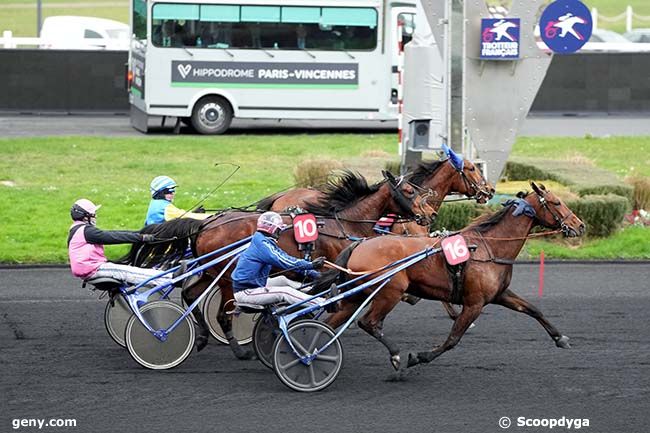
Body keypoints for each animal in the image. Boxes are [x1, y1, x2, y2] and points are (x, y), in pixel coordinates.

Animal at [312, 182, 584, 368]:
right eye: (557, 203)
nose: (579, 225)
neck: (488, 247)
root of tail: (359, 244)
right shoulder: (474, 303)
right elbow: (453, 338)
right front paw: (419, 356)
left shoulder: (500, 294)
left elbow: (532, 309)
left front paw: (560, 338)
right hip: (390, 291)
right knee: (369, 323)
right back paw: (396, 355)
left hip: (357, 295)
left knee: (330, 324)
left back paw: (313, 353)